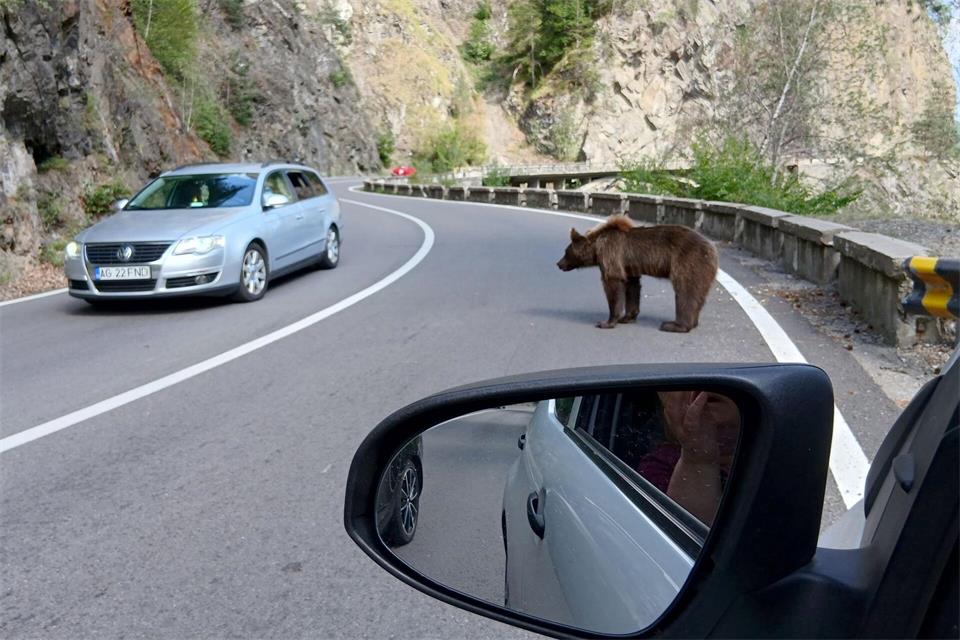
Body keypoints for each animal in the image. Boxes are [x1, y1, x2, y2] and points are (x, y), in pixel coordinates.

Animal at [556, 214, 718, 332]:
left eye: (565, 252)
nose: (558, 264)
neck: (596, 247)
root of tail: (712, 249)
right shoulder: (629, 266)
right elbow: (631, 287)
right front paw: (627, 317)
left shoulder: (610, 254)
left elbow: (613, 283)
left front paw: (607, 322)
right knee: (698, 294)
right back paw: (692, 322)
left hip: (688, 261)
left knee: (685, 290)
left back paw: (674, 325)